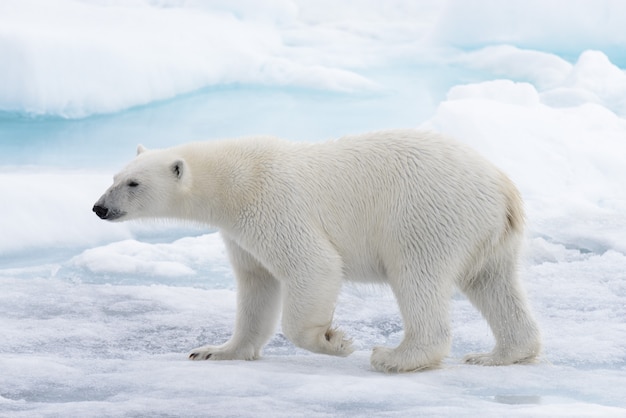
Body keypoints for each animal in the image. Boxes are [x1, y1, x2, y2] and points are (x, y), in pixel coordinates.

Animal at [94, 129, 540, 370]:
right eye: (114, 176)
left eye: (133, 183)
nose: (99, 208)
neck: (234, 180)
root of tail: (502, 187)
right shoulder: (239, 233)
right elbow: (256, 286)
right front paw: (214, 351)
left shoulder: (273, 205)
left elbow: (313, 266)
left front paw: (334, 341)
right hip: (491, 235)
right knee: (494, 283)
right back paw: (500, 354)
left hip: (426, 215)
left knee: (417, 276)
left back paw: (395, 357)